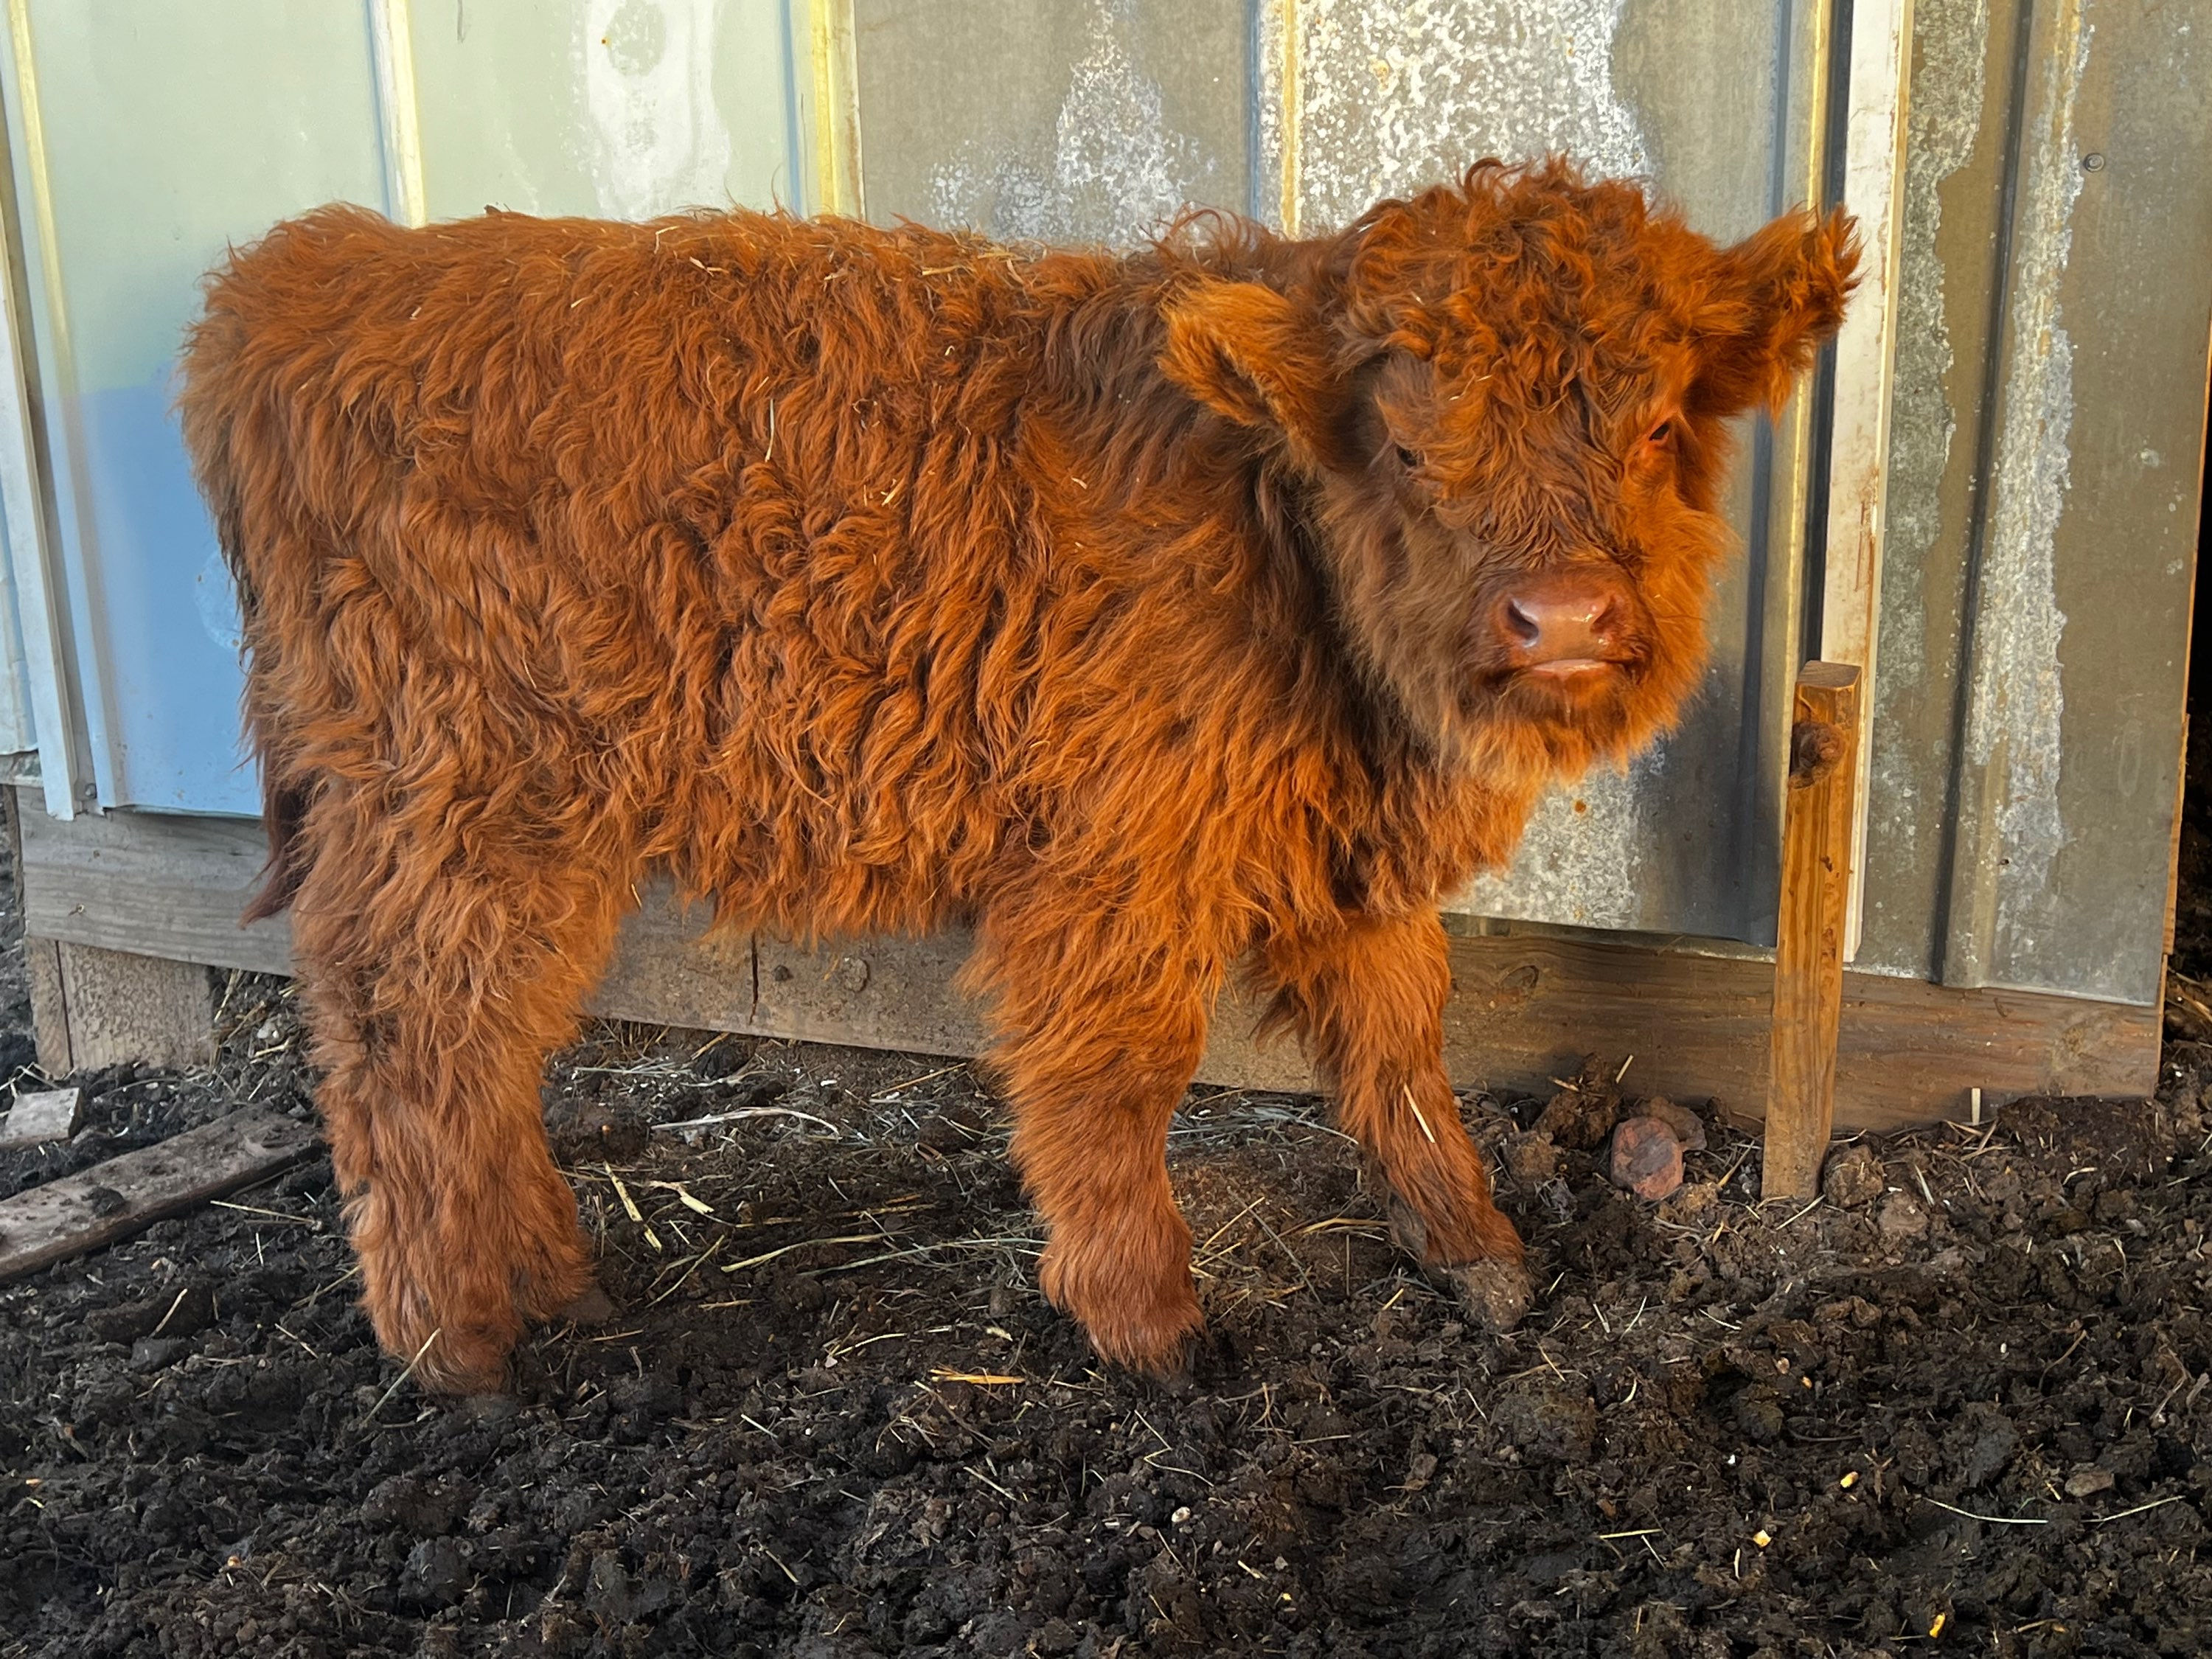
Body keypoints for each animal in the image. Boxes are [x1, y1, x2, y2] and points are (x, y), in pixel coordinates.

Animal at [178, 159, 1855, 1393]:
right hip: (462, 801)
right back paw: (458, 1352)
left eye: (1660, 425)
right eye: (1408, 447)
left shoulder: (1338, 862)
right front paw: (1152, 1325)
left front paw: (1479, 1249)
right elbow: (1114, 1083)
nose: (1560, 618)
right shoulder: (1119, 862)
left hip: (538, 829)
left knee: (491, 1044)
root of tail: (309, 276)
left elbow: (1400, 1052)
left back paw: (558, 1289)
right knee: (410, 1051)